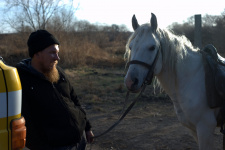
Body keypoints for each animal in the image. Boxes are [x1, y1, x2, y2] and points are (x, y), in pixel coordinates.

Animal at [125, 13, 221, 150]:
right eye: (130, 47)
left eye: (152, 47)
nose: (130, 81)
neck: (193, 79)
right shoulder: (194, 130)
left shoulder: (205, 128)